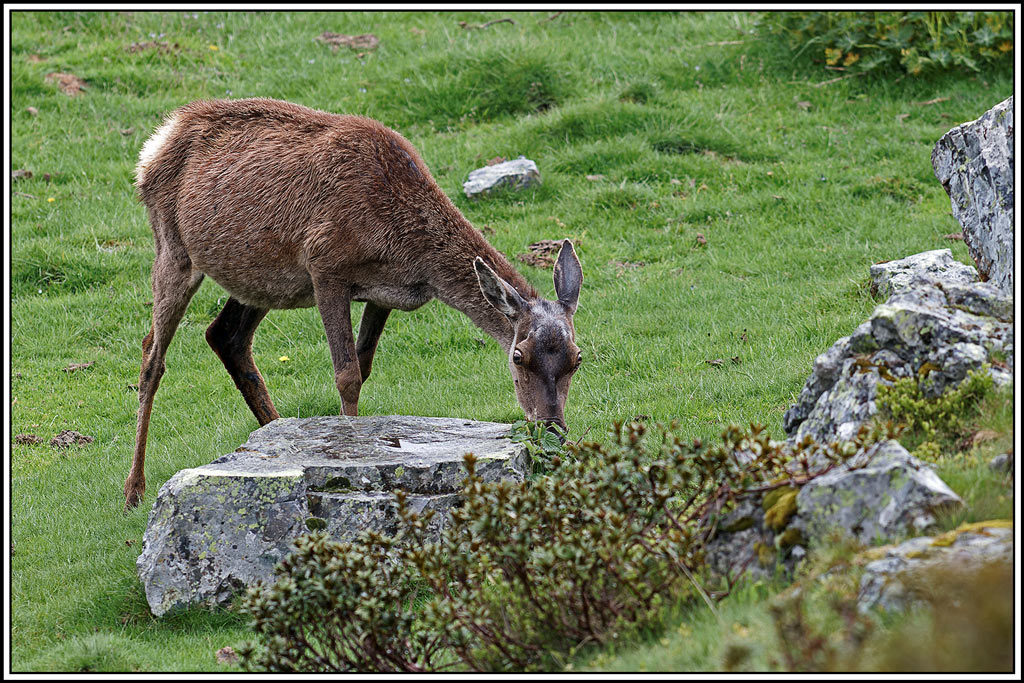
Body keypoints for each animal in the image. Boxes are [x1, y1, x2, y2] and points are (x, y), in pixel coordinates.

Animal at [124, 98, 584, 510]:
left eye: (577, 359)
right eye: (518, 356)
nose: (553, 428)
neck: (405, 247)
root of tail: (155, 145)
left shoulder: (384, 295)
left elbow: (363, 367)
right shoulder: (325, 265)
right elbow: (345, 375)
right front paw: (350, 458)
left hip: (258, 278)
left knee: (225, 335)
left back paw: (272, 433)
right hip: (174, 247)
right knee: (152, 356)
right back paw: (134, 489)